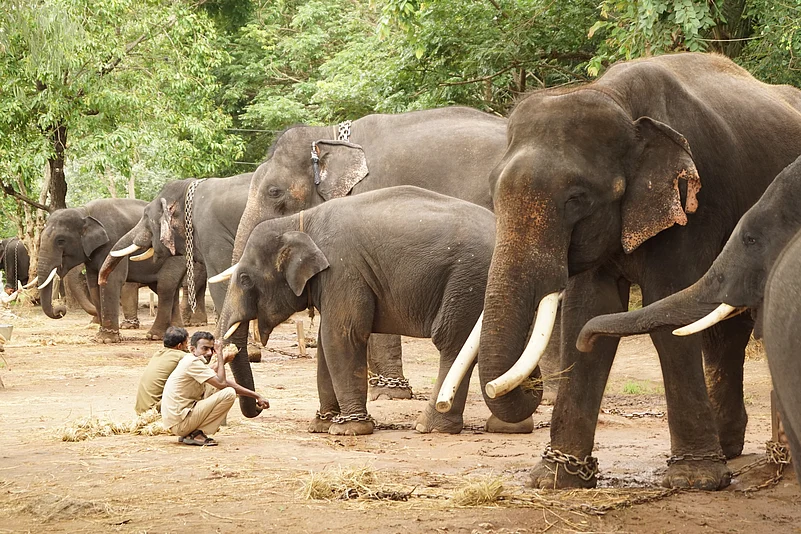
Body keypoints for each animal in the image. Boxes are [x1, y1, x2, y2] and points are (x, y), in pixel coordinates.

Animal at [37, 198, 205, 342]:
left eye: (60, 241)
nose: (60, 310)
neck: (83, 211)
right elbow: (94, 284)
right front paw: (100, 336)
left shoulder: (112, 241)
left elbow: (112, 280)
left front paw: (106, 339)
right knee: (169, 288)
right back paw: (175, 332)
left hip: (176, 254)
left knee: (165, 287)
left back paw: (154, 336)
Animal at [216, 186, 531, 435]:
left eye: (245, 279)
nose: (262, 404)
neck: (300, 221)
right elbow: (326, 345)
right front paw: (322, 425)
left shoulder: (343, 269)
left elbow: (341, 336)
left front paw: (348, 430)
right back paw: (509, 426)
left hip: (469, 278)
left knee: (452, 342)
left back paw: (429, 427)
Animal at [457, 52, 801, 491]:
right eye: (493, 192)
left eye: (576, 198)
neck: (616, 98)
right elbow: (588, 310)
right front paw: (556, 478)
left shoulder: (691, 204)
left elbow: (664, 309)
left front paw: (694, 479)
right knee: (724, 333)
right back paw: (728, 447)